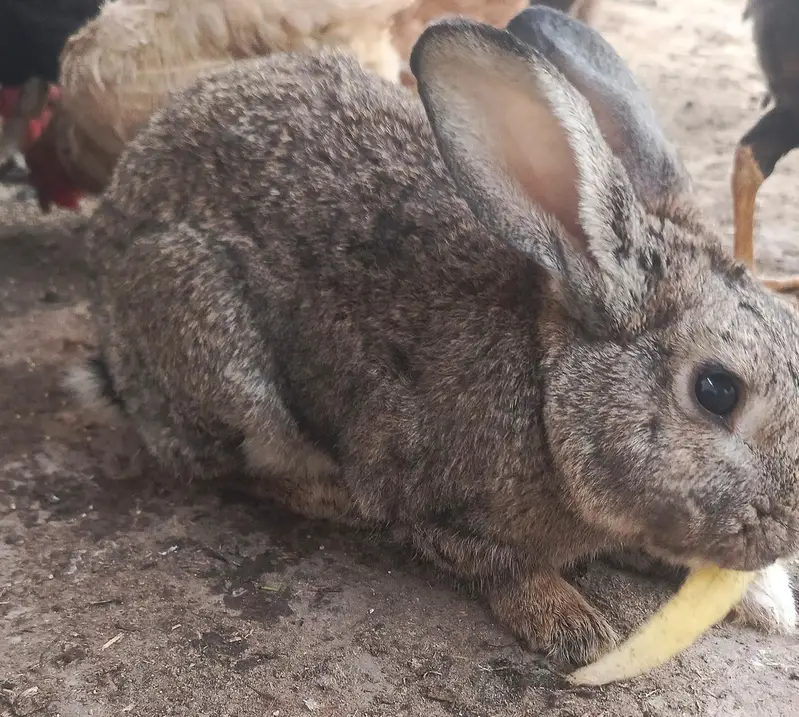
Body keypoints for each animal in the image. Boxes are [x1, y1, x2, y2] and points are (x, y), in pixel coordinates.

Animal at [69, 6, 799, 666]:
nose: (787, 533)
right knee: (237, 468)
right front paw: (570, 623)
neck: (544, 402)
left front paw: (766, 601)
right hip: (209, 336)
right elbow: (497, 566)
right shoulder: (421, 493)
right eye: (715, 390)